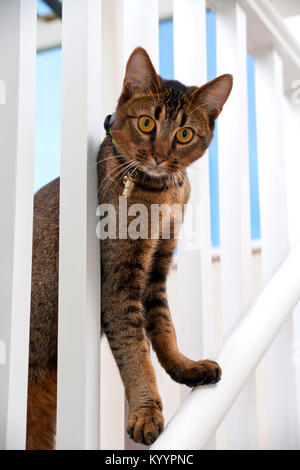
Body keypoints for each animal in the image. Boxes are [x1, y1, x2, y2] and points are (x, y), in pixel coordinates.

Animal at [26, 46, 232, 448]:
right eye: (147, 124)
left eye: (185, 133)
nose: (160, 156)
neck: (164, 193)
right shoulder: (119, 281)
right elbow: (135, 350)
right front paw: (146, 412)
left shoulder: (157, 267)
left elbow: (164, 328)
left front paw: (185, 366)